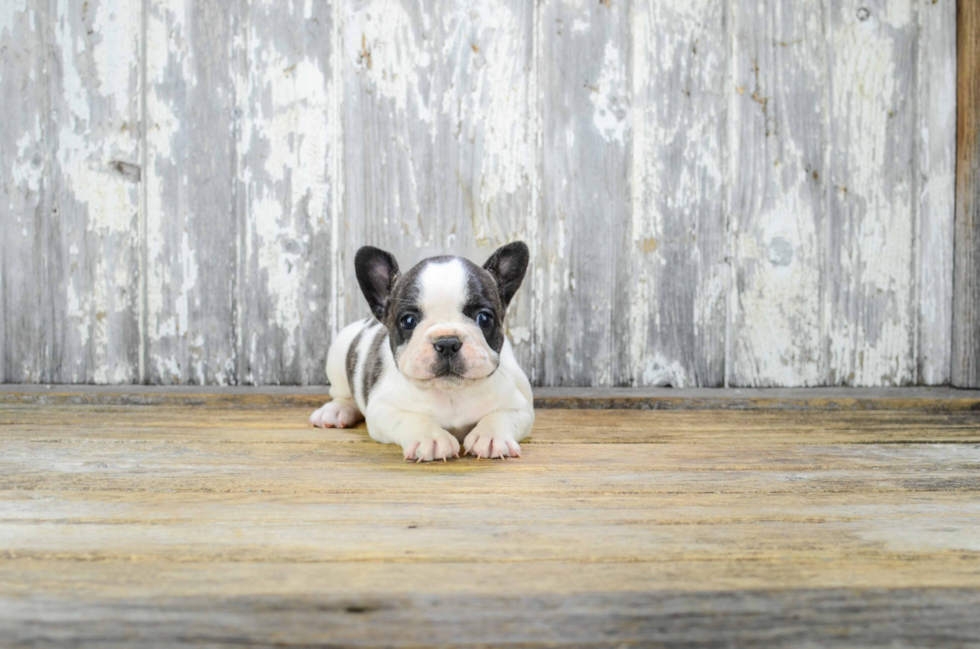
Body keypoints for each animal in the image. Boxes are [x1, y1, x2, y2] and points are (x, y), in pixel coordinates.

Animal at [308, 242, 532, 460]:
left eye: (484, 318)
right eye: (408, 321)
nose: (447, 342)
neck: (450, 393)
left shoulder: (520, 406)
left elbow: (500, 416)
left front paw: (491, 436)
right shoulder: (384, 408)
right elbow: (412, 418)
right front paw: (431, 438)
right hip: (338, 356)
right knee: (343, 396)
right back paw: (335, 411)